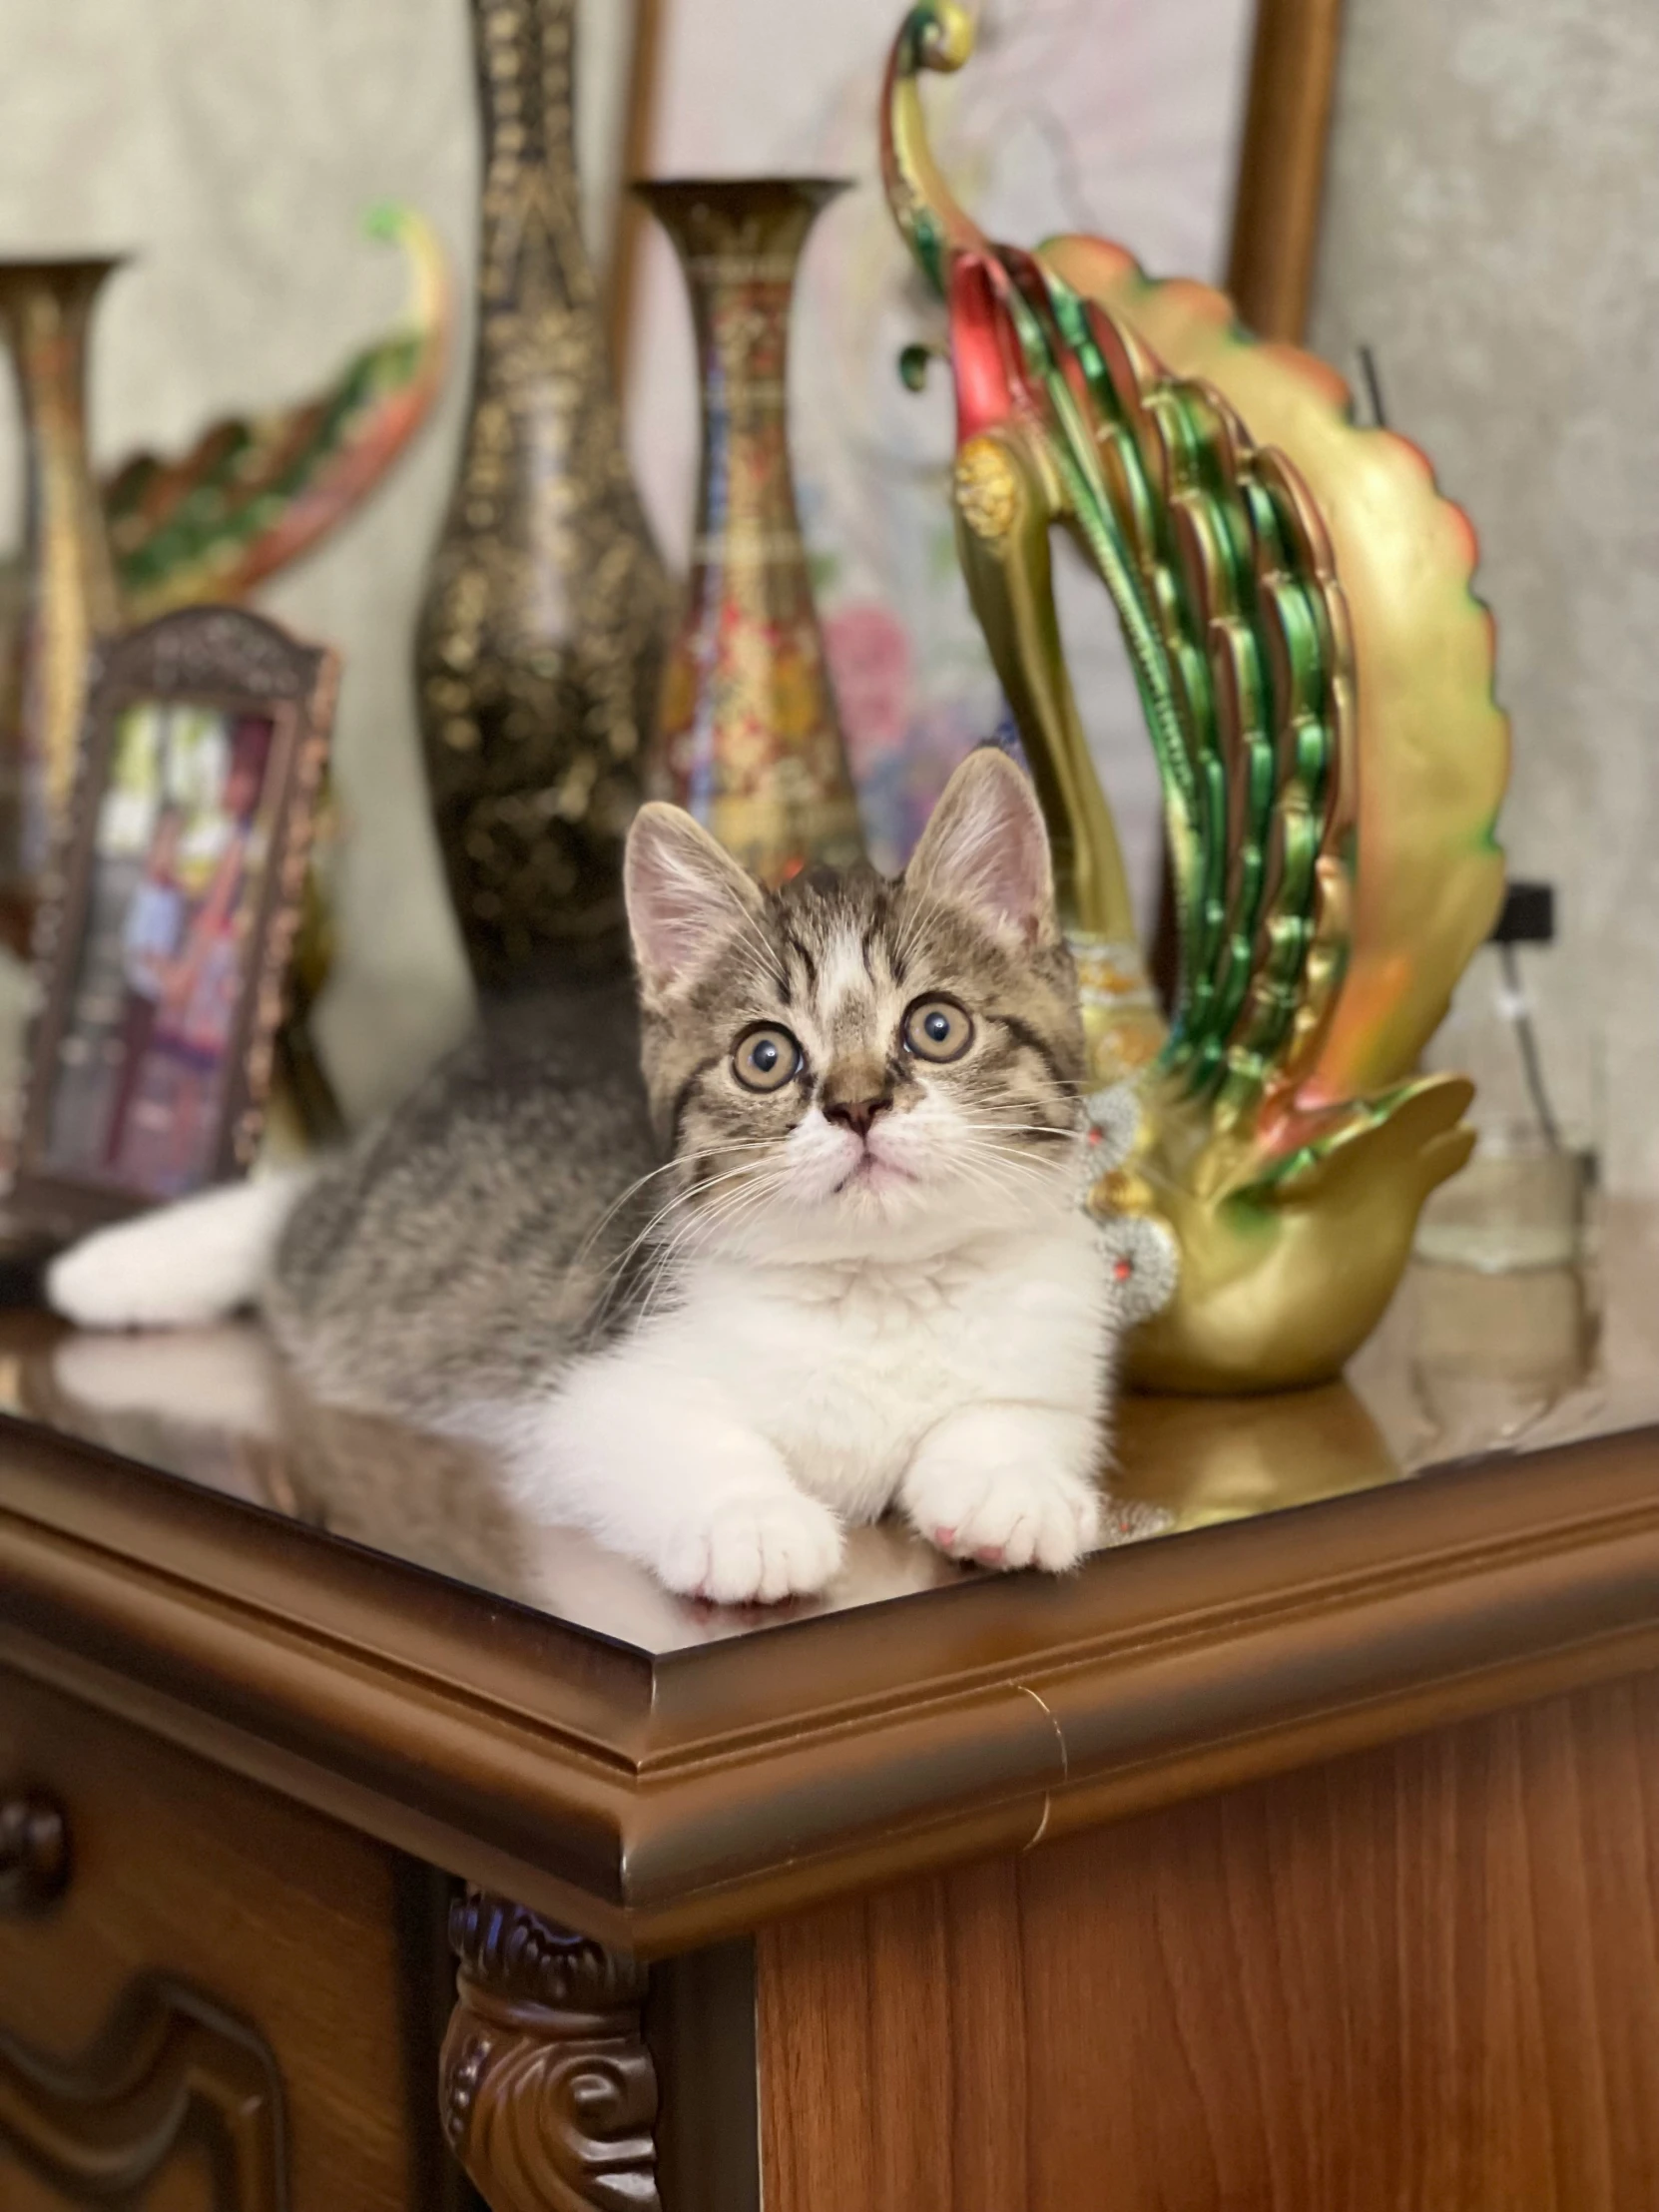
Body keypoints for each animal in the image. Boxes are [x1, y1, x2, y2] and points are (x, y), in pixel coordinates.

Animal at [52, 752, 1141, 1601]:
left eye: (937, 1026)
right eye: (766, 1056)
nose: (859, 1105)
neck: (880, 1288)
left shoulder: (1057, 1355)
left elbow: (1016, 1420)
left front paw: (1010, 1489)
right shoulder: (583, 1390)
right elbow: (675, 1435)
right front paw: (752, 1522)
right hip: (368, 1236)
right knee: (292, 1210)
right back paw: (111, 1271)